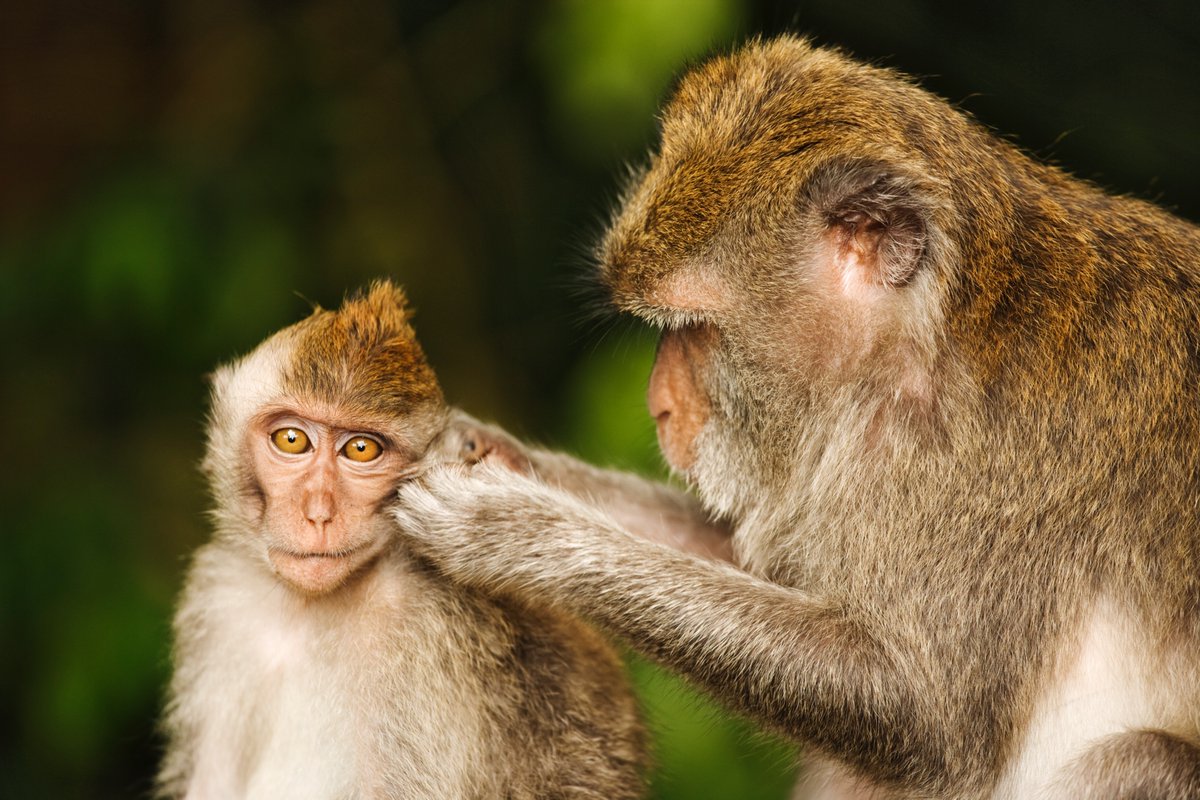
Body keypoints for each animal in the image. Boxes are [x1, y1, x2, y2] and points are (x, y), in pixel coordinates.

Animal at [156, 281, 648, 800]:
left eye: (360, 449)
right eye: (292, 440)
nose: (318, 513)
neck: (305, 611)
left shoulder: (425, 631)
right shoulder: (220, 597)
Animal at [390, 36, 1200, 799]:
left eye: (696, 331)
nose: (660, 405)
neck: (924, 338)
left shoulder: (985, 468)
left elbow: (929, 719)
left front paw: (516, 531)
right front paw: (476, 446)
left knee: (1136, 761)